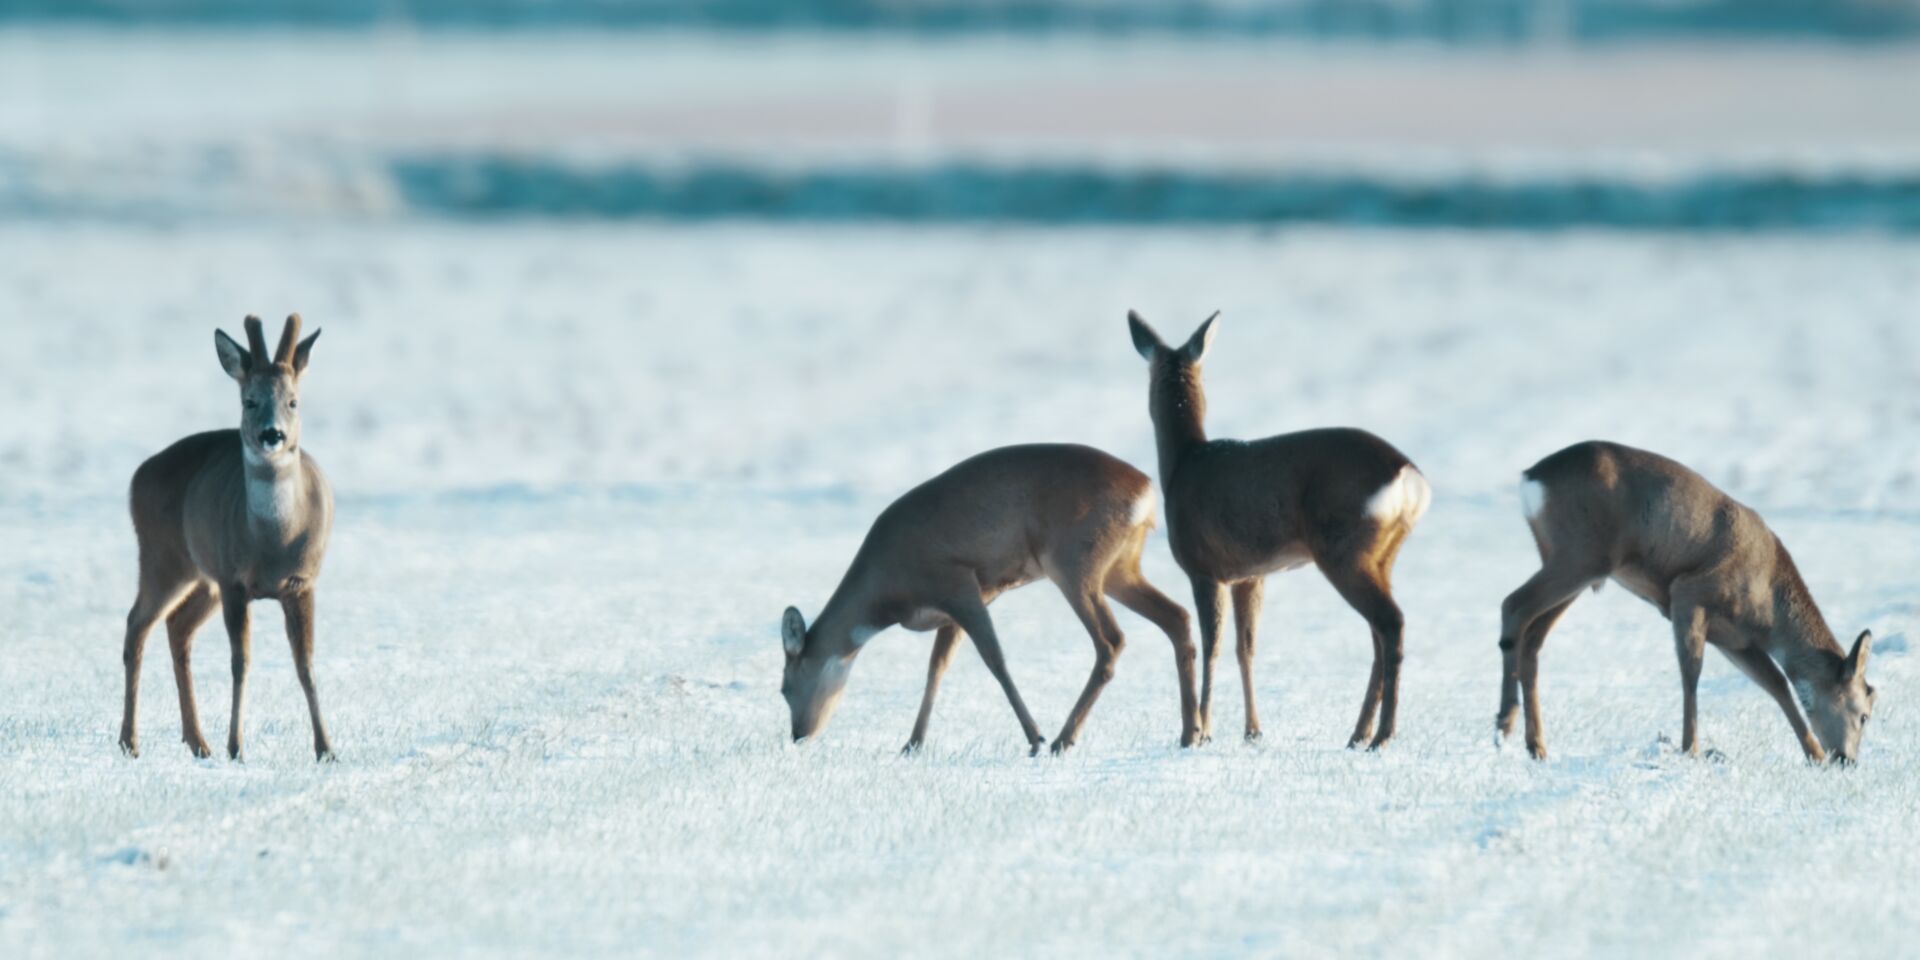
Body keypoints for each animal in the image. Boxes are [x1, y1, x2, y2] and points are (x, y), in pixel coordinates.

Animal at [116, 316, 336, 764]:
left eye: (293, 402)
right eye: (249, 401)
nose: (272, 435)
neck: (275, 540)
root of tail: (137, 476)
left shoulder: (302, 582)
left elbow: (305, 664)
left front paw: (327, 749)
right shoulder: (235, 582)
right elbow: (241, 662)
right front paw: (237, 747)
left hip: (203, 578)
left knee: (177, 627)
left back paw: (198, 742)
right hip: (162, 558)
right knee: (136, 625)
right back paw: (130, 741)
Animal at [779, 443, 1198, 756]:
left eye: (784, 687)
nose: (798, 735)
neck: (887, 591)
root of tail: (1146, 491)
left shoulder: (958, 582)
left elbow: (994, 659)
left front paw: (1033, 737)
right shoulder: (956, 607)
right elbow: (936, 668)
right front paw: (912, 744)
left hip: (1073, 562)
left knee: (1111, 640)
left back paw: (1063, 739)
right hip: (1119, 568)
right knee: (1177, 617)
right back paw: (1192, 732)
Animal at [1121, 312, 1428, 748]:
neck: (1183, 464)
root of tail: (1408, 476)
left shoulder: (1203, 568)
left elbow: (1212, 647)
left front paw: (1202, 731)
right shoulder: (1251, 574)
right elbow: (1246, 647)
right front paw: (1252, 730)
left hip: (1344, 549)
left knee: (1390, 622)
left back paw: (1381, 735)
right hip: (1382, 554)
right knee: (1379, 633)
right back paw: (1358, 733)